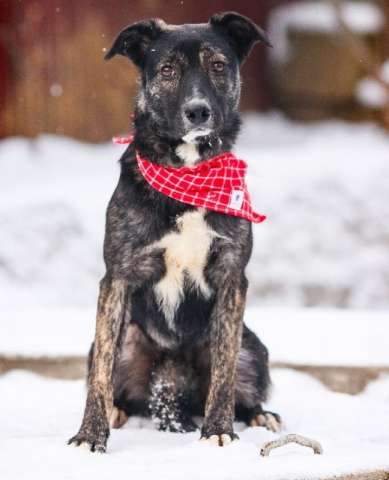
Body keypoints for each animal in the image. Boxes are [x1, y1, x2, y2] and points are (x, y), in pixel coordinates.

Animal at [69, 12, 278, 454]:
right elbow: (99, 377)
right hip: (126, 343)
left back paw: (260, 416)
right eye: (167, 70)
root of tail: (171, 378)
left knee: (240, 386)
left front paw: (217, 430)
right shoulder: (117, 277)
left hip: (253, 349)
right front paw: (90, 435)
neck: (188, 174)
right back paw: (116, 412)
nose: (198, 111)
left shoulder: (232, 278)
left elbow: (223, 374)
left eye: (218, 65)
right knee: (115, 382)